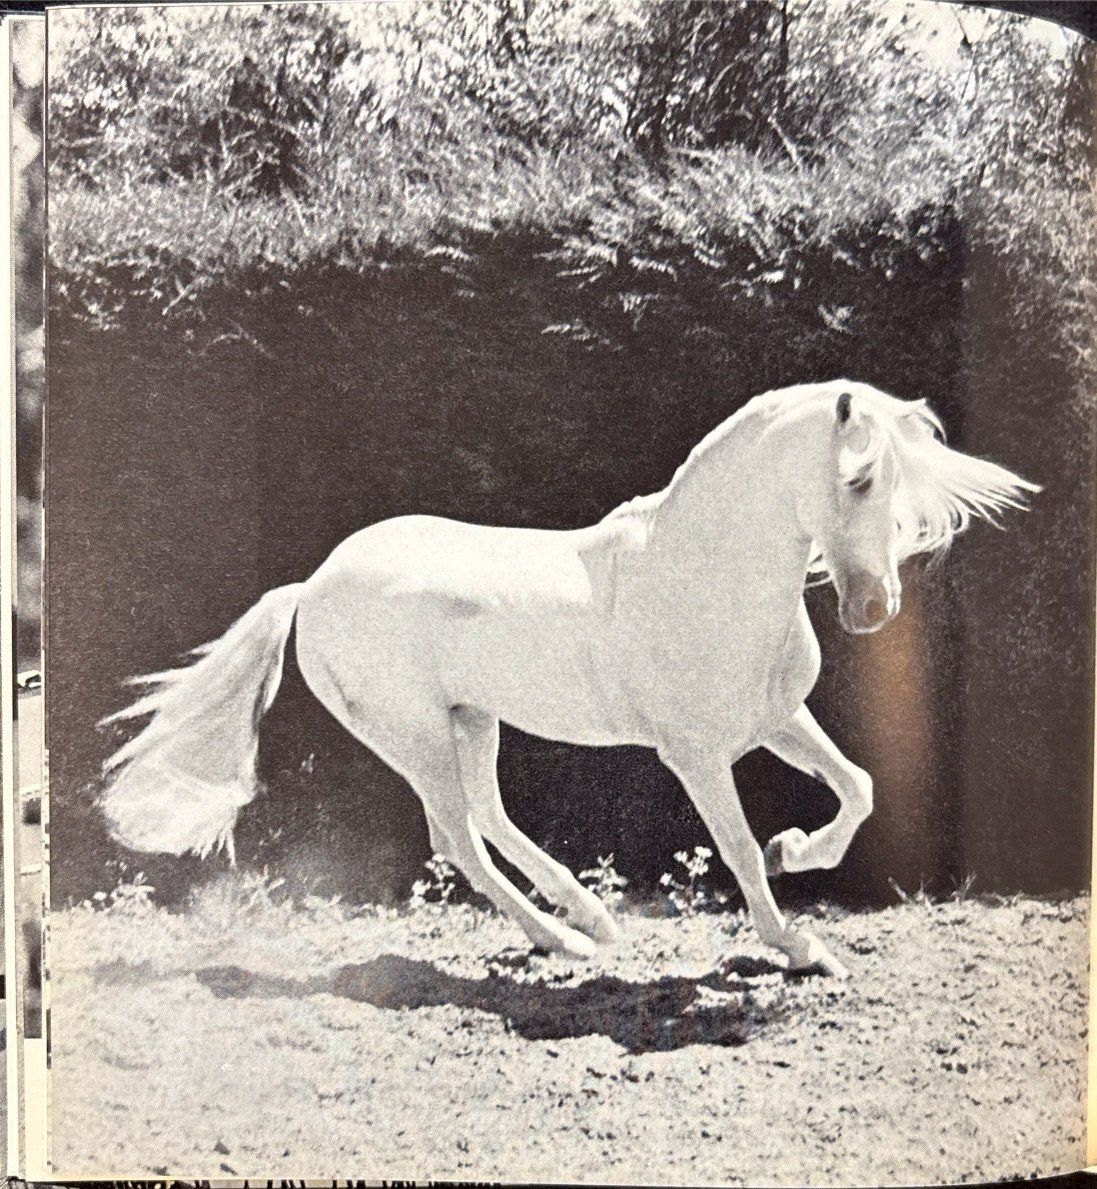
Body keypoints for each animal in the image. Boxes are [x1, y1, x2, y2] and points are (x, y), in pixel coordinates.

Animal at [99, 380, 1037, 977]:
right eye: (859, 476)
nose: (873, 609)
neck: (700, 573)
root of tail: (310, 587)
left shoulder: (775, 718)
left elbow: (859, 787)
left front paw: (798, 850)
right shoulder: (695, 755)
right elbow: (737, 847)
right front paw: (801, 947)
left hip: (471, 719)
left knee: (489, 818)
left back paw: (590, 920)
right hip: (412, 735)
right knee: (459, 840)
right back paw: (569, 942)